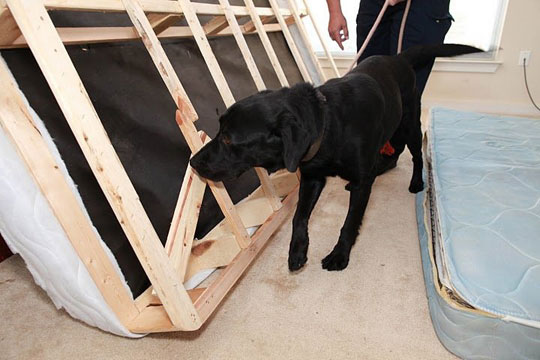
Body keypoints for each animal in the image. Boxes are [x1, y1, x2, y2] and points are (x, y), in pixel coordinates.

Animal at [190, 43, 480, 272]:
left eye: (228, 139)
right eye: (219, 130)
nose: (193, 162)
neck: (328, 125)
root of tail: (398, 57)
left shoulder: (360, 185)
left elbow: (350, 222)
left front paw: (339, 255)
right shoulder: (312, 178)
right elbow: (298, 217)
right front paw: (297, 251)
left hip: (408, 124)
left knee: (415, 154)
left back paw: (416, 182)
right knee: (391, 156)